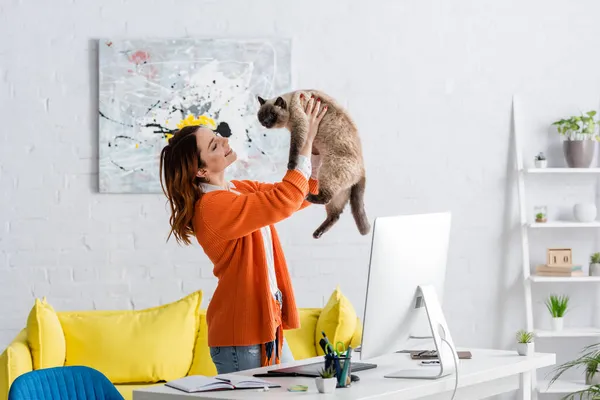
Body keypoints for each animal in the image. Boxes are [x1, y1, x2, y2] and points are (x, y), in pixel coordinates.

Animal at [255, 90, 368, 239]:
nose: (265, 122)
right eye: (261, 115)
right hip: (340, 192)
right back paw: (317, 233)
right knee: (335, 214)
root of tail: (362, 170)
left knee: (326, 198)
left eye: (272, 114)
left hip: (328, 171)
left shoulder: (299, 128)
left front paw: (291, 165)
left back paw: (309, 197)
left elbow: (294, 149)